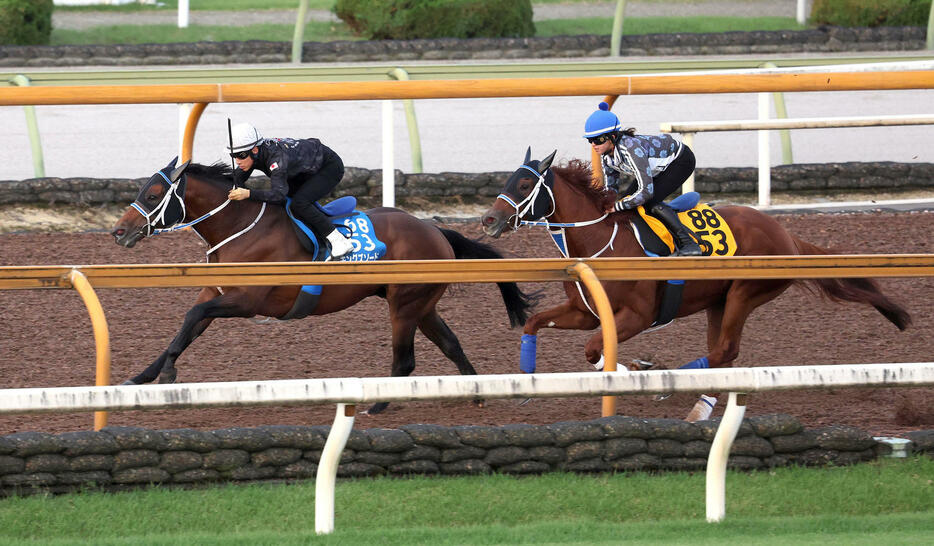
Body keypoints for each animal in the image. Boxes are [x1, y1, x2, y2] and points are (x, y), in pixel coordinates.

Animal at [110, 157, 536, 412]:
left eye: (152, 194)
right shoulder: (217, 293)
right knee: (451, 343)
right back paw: (476, 393)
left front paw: (168, 375)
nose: (119, 231)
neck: (239, 226)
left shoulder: (247, 301)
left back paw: (378, 405)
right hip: (422, 305)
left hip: (404, 305)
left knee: (405, 359)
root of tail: (435, 229)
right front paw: (142, 378)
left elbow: (192, 316)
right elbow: (186, 327)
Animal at [482, 149, 916, 420]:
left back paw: (678, 389)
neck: (602, 239)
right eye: (509, 179)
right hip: (717, 301)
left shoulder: (639, 314)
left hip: (744, 293)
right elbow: (537, 324)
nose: (488, 219)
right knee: (723, 355)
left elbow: (595, 349)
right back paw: (699, 402)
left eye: (525, 186)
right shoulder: (584, 311)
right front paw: (526, 379)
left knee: (725, 350)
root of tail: (786, 235)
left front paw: (641, 370)